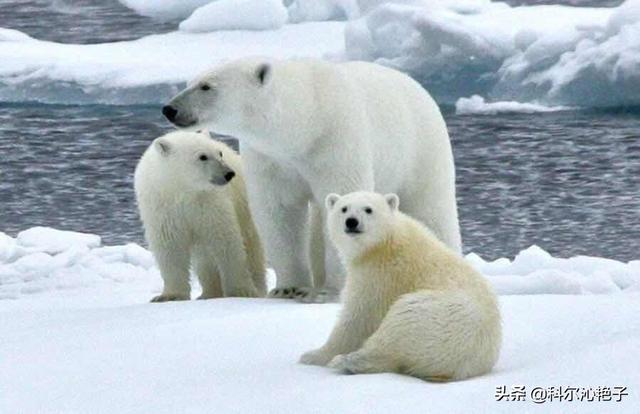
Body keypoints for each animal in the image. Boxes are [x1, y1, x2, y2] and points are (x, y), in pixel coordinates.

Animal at [134, 130, 266, 300]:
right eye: (202, 156)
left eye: (219, 153)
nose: (229, 174)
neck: (184, 190)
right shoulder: (163, 207)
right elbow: (170, 247)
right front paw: (169, 296)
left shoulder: (209, 203)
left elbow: (225, 240)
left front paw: (241, 291)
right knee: (204, 258)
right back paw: (208, 294)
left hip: (246, 211)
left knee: (251, 250)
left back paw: (258, 289)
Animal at [162, 58, 458, 302]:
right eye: (191, 82)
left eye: (206, 86)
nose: (169, 109)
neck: (306, 122)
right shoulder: (270, 159)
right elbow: (278, 214)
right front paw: (288, 288)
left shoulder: (336, 144)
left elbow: (341, 199)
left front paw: (329, 292)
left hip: (420, 151)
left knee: (431, 212)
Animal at [300, 192, 500, 380]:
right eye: (344, 208)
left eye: (368, 209)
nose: (351, 222)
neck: (384, 242)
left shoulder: (380, 274)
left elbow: (359, 317)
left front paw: (313, 355)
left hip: (437, 317)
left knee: (396, 328)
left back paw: (346, 361)